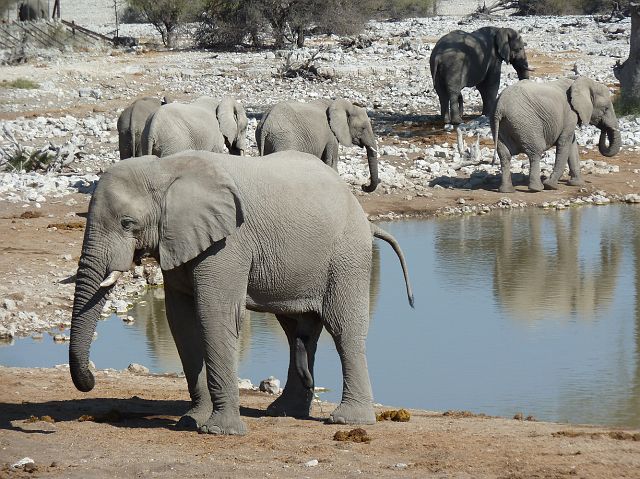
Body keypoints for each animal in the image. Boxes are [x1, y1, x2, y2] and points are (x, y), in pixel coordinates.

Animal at [67, 150, 412, 436]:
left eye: (128, 223)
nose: (91, 381)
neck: (165, 169)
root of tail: (364, 215)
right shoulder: (179, 241)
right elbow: (182, 323)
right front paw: (190, 422)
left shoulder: (228, 244)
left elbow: (214, 316)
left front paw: (219, 431)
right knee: (296, 332)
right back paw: (283, 412)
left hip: (347, 255)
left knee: (343, 329)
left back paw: (346, 420)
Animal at [492, 77, 624, 193]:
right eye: (605, 109)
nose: (604, 128)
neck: (578, 82)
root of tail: (500, 106)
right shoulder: (570, 113)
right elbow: (564, 143)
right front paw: (551, 185)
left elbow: (572, 145)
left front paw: (576, 184)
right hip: (526, 122)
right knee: (535, 152)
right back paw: (537, 189)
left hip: (499, 123)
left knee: (505, 155)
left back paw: (507, 191)